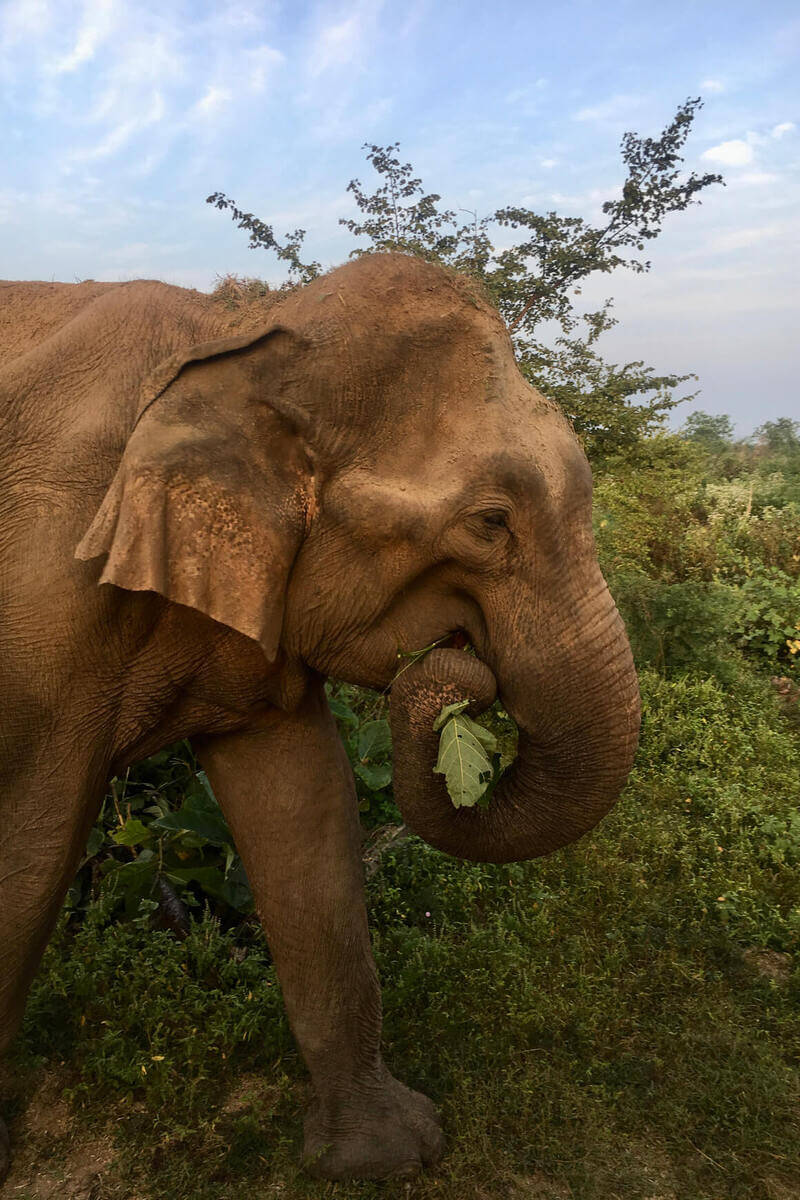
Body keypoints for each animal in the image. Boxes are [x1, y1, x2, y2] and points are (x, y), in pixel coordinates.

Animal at [0, 253, 642, 1180]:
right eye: (490, 523)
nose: (459, 668)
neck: (245, 335)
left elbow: (305, 808)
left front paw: (386, 1155)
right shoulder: (44, 586)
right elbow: (32, 839)